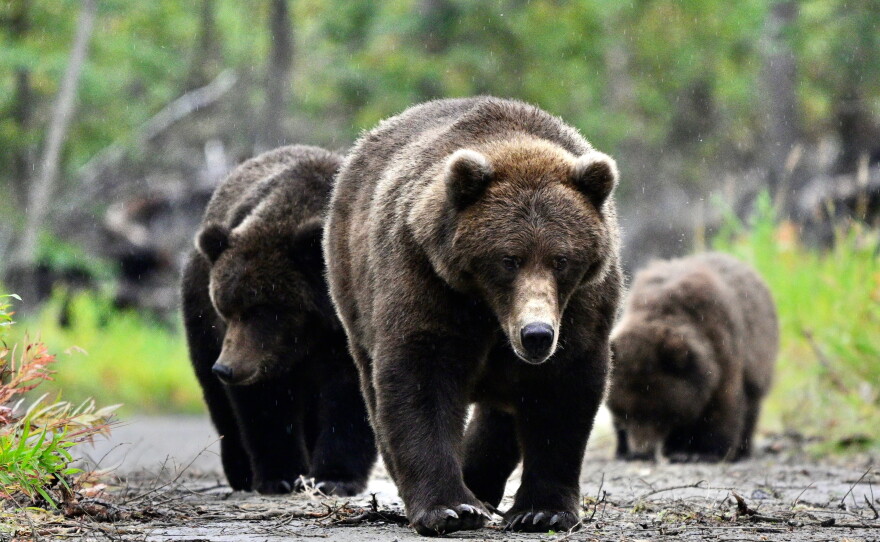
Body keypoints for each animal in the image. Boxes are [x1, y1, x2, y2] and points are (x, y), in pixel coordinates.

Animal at [181, 144, 377, 496]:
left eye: (263, 309)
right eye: (225, 308)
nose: (226, 368)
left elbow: (350, 398)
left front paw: (335, 477)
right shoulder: (256, 351)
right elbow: (266, 403)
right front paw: (280, 475)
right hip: (198, 314)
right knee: (216, 399)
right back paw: (240, 470)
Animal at [323, 97, 622, 535]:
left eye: (561, 259)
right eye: (508, 259)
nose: (536, 334)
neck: (490, 309)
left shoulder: (581, 304)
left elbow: (564, 389)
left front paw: (542, 511)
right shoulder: (427, 277)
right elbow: (421, 377)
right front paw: (450, 508)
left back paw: (480, 480)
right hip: (353, 284)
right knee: (373, 386)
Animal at [607, 252, 778, 462]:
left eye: (657, 412)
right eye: (625, 412)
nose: (642, 450)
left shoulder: (721, 348)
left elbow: (722, 406)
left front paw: (708, 451)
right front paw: (622, 450)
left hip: (759, 359)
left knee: (751, 404)